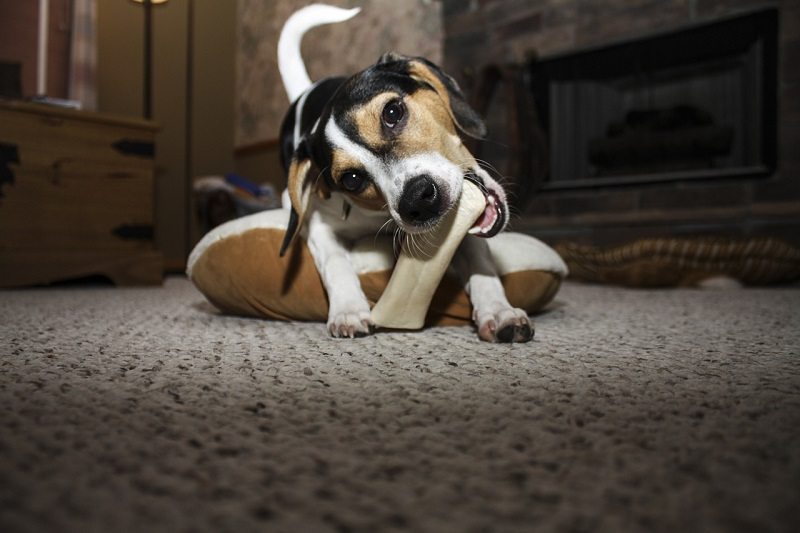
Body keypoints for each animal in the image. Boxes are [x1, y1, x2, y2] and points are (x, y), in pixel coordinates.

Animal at [278, 3, 536, 340]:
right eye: (351, 179)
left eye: (392, 112)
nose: (418, 201)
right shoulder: (319, 224)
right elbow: (336, 262)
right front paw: (348, 309)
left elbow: (480, 260)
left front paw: (499, 310)